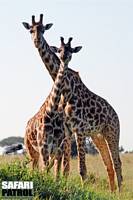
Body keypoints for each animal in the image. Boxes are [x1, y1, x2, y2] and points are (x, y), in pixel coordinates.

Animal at [22, 13, 122, 191]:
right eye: (31, 30)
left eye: (43, 29)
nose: (36, 41)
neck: (67, 90)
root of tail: (116, 115)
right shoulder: (68, 132)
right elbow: (65, 167)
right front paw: (61, 186)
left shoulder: (79, 130)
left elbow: (81, 169)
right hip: (98, 135)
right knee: (108, 163)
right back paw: (112, 193)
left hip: (112, 132)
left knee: (117, 163)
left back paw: (120, 193)